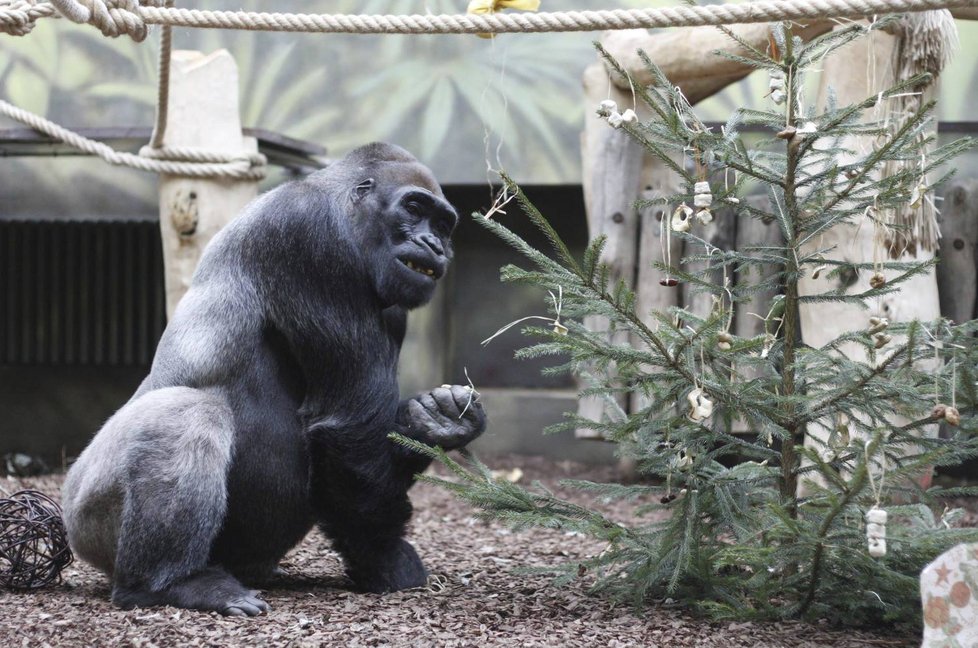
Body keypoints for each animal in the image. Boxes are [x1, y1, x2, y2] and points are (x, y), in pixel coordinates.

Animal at [60, 143, 484, 616]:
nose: (434, 245)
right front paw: (384, 555)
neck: (340, 205)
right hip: (85, 519)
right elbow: (350, 428)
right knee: (186, 413)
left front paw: (434, 424)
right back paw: (166, 583)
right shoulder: (309, 237)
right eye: (413, 208)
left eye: (443, 224)